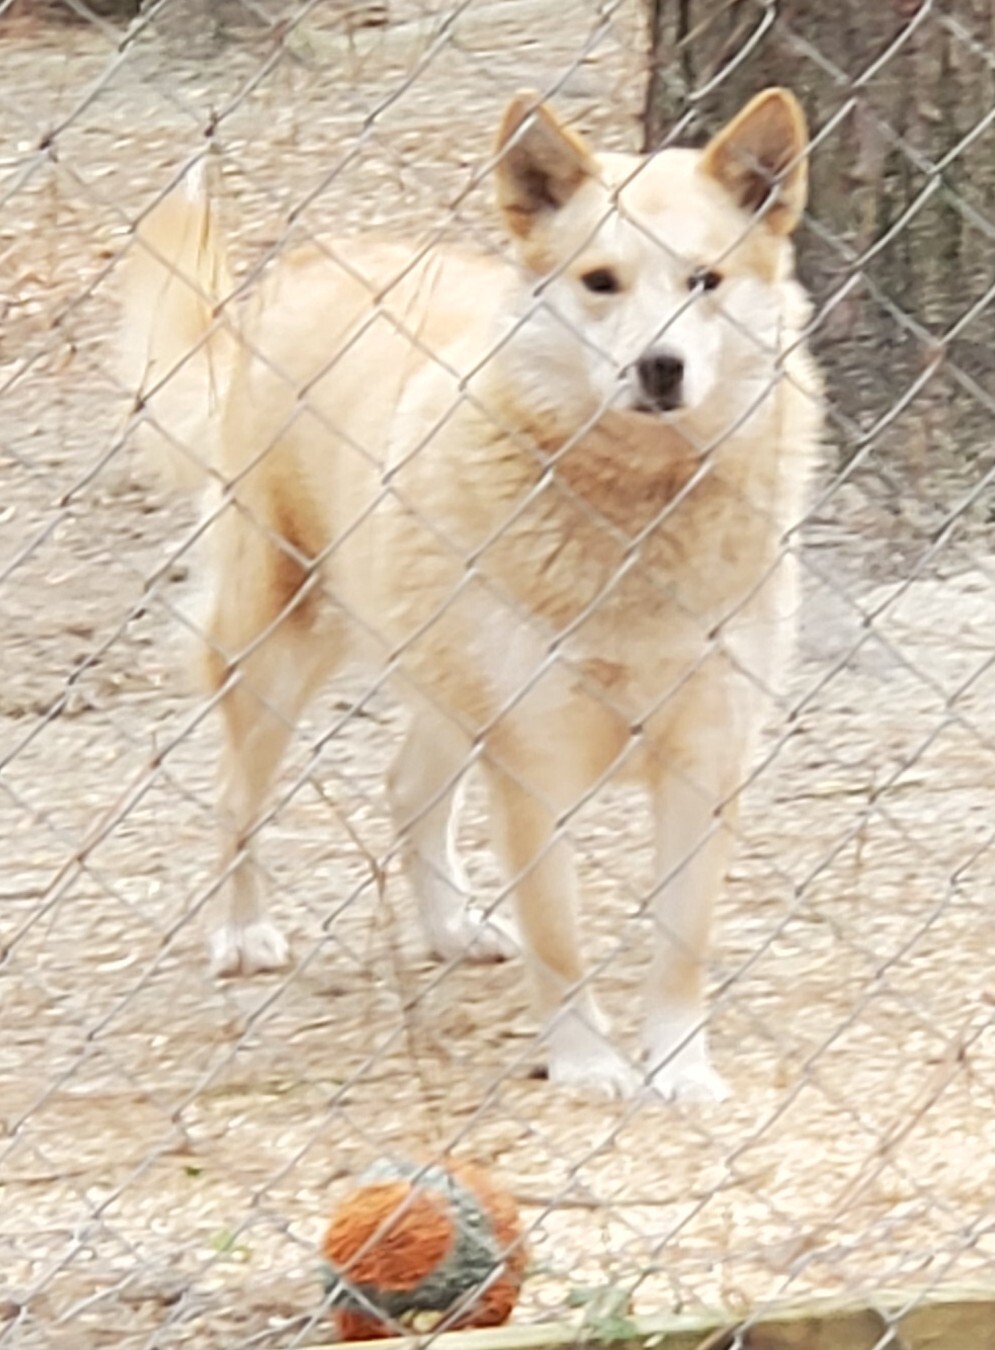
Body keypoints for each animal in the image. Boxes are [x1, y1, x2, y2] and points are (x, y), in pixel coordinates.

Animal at [122, 89, 820, 1101]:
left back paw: (449, 926)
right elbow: (559, 941)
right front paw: (586, 1064)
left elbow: (681, 945)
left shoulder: (709, 755)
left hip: (444, 675)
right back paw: (243, 932)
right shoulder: (532, 762)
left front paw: (680, 1068)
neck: (636, 514)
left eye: (705, 281)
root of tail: (305, 264)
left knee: (407, 788)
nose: (660, 367)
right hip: (276, 654)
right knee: (235, 797)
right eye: (599, 281)